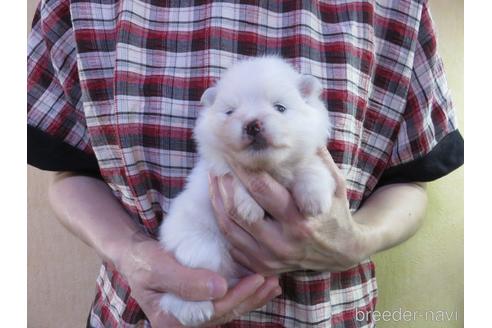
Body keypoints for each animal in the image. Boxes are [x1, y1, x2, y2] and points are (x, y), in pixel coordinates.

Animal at [160, 56, 336, 326]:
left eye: (280, 108)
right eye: (230, 111)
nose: (253, 124)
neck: (268, 167)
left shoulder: (308, 158)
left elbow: (311, 169)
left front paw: (314, 201)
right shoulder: (222, 171)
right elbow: (236, 180)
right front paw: (249, 209)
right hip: (199, 249)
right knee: (184, 287)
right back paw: (194, 309)